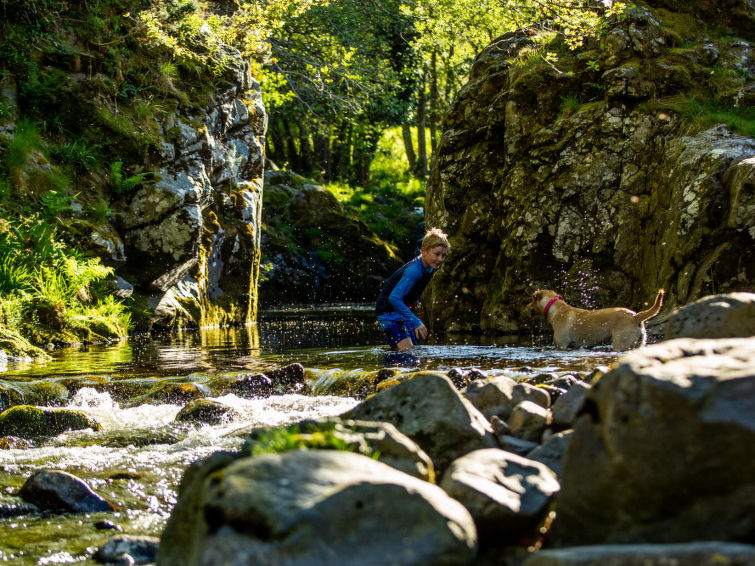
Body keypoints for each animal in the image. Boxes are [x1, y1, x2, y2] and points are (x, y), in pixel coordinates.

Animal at [528, 290, 664, 352]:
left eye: (531, 300)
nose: (526, 306)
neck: (557, 310)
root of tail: (636, 316)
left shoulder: (562, 345)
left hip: (621, 342)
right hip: (638, 343)